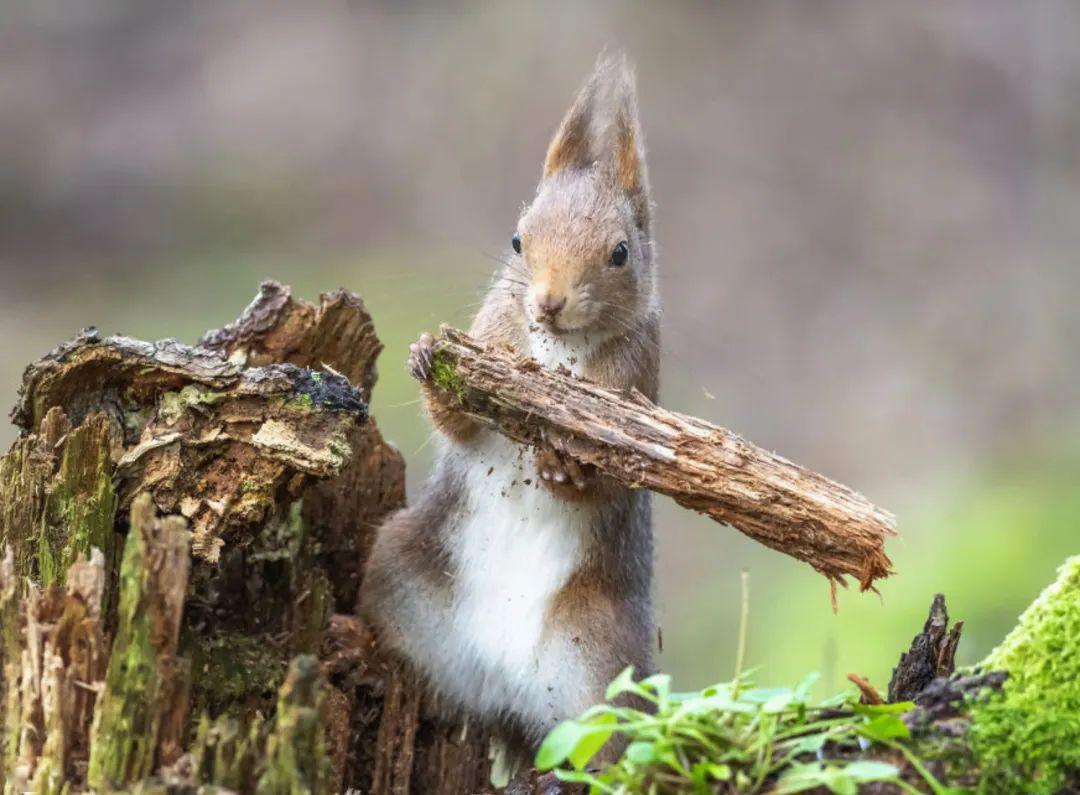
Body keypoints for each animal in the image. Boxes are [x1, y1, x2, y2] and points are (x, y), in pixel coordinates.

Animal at [360, 55, 656, 764]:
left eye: (620, 253)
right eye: (517, 240)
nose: (548, 302)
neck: (555, 350)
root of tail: (499, 687)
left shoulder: (640, 380)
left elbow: (610, 476)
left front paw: (570, 469)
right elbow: (459, 426)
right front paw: (428, 363)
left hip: (603, 663)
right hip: (399, 571)